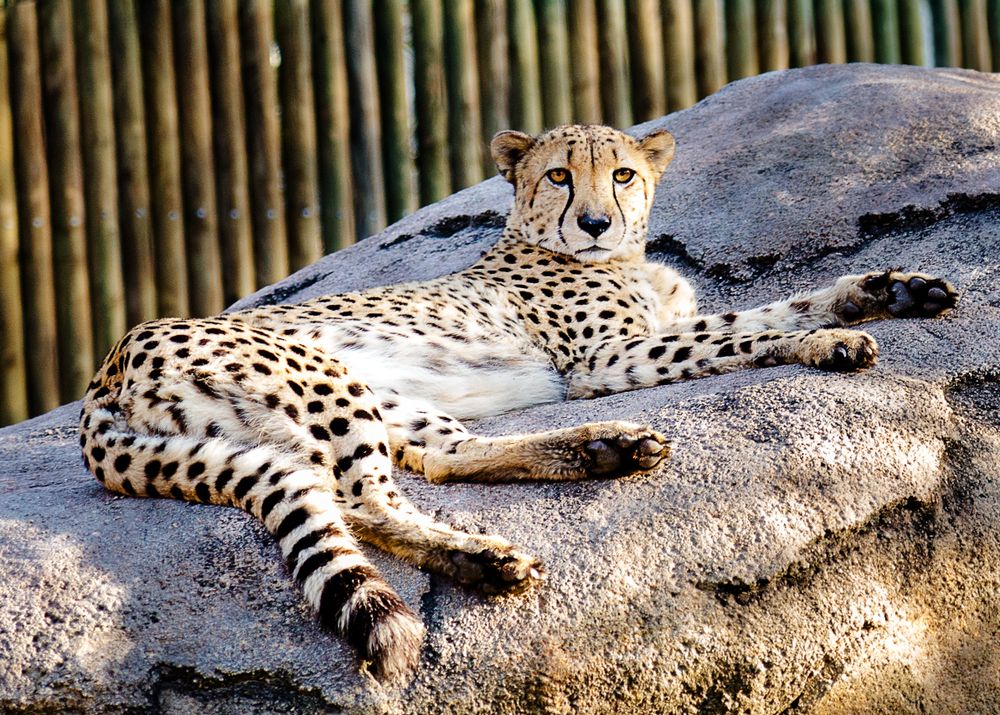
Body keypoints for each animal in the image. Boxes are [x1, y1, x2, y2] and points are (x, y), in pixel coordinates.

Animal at [79, 123, 958, 682]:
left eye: (624, 173)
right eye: (559, 174)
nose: (597, 221)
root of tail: (107, 369)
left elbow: (770, 309)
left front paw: (888, 289)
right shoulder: (605, 358)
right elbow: (743, 337)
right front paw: (827, 342)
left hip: (384, 396)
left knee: (444, 456)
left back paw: (603, 450)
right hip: (325, 378)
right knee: (360, 501)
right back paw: (488, 555)